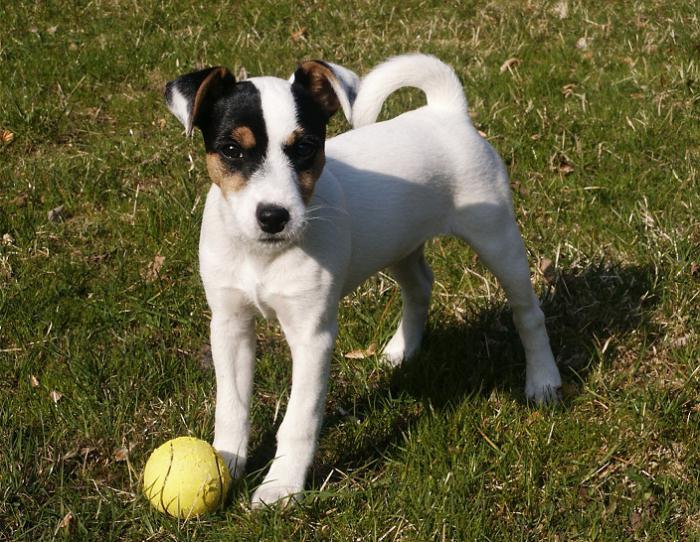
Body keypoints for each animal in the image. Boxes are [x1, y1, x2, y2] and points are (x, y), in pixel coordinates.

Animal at [164, 55, 564, 510]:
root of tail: (445, 112)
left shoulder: (312, 335)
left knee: (528, 313)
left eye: (304, 147)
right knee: (420, 285)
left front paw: (281, 486)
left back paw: (543, 380)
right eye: (231, 150)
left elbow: (300, 418)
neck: (262, 255)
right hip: (398, 243)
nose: (273, 216)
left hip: (497, 237)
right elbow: (231, 407)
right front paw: (225, 465)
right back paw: (401, 350)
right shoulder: (229, 324)